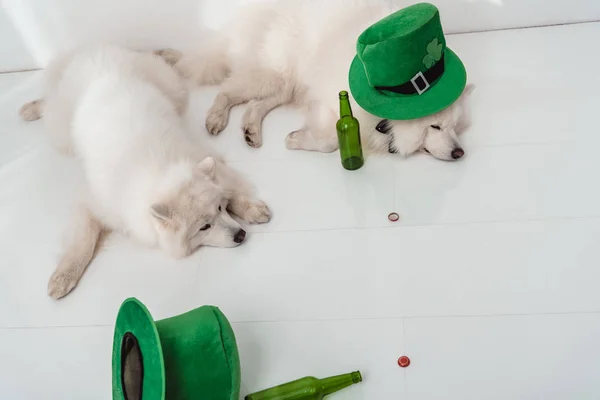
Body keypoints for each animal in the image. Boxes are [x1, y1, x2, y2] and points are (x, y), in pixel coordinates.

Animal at [19, 45, 272, 298]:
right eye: (204, 227)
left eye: (220, 209)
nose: (241, 235)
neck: (159, 173)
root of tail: (95, 53)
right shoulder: (92, 202)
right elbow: (83, 239)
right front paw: (64, 276)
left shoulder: (201, 157)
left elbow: (230, 189)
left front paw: (250, 208)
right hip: (62, 132)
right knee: (49, 105)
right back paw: (30, 108)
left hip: (173, 89)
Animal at [176, 0, 476, 161]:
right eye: (435, 127)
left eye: (455, 127)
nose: (460, 153)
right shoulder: (329, 100)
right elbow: (330, 140)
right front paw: (295, 140)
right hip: (274, 72)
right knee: (227, 90)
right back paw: (216, 118)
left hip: (284, 81)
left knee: (258, 103)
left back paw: (251, 128)